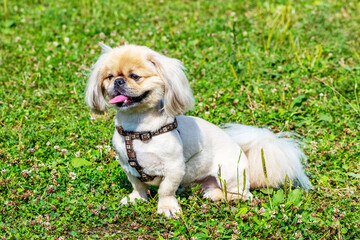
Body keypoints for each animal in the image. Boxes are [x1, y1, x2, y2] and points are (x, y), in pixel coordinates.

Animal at [85, 44, 312, 218]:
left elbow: (166, 190)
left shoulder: (174, 168)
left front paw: (167, 208)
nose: (118, 81)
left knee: (243, 195)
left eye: (135, 76)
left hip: (227, 173)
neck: (138, 128)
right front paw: (136, 198)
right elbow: (138, 185)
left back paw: (217, 195)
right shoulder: (127, 165)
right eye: (109, 77)